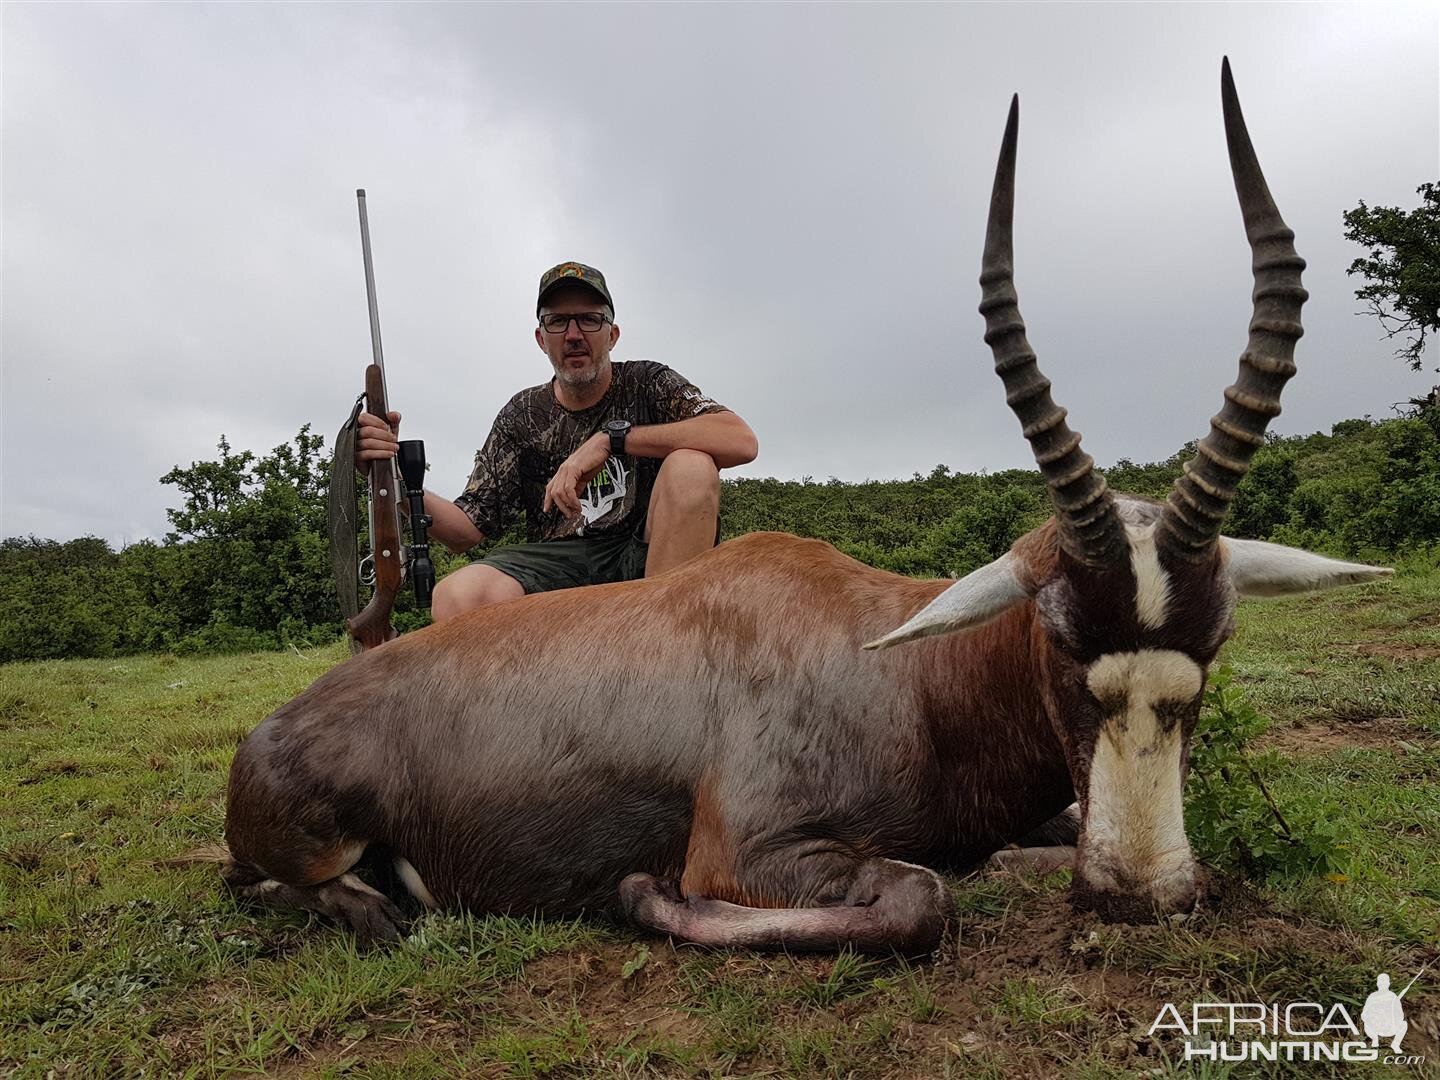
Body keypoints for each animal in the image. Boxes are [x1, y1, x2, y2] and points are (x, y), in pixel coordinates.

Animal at [218, 61, 1388, 956]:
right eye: (1056, 632)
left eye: (1217, 636)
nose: (1140, 893)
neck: (900, 666)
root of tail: (273, 729)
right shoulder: (753, 853)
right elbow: (918, 898)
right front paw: (640, 894)